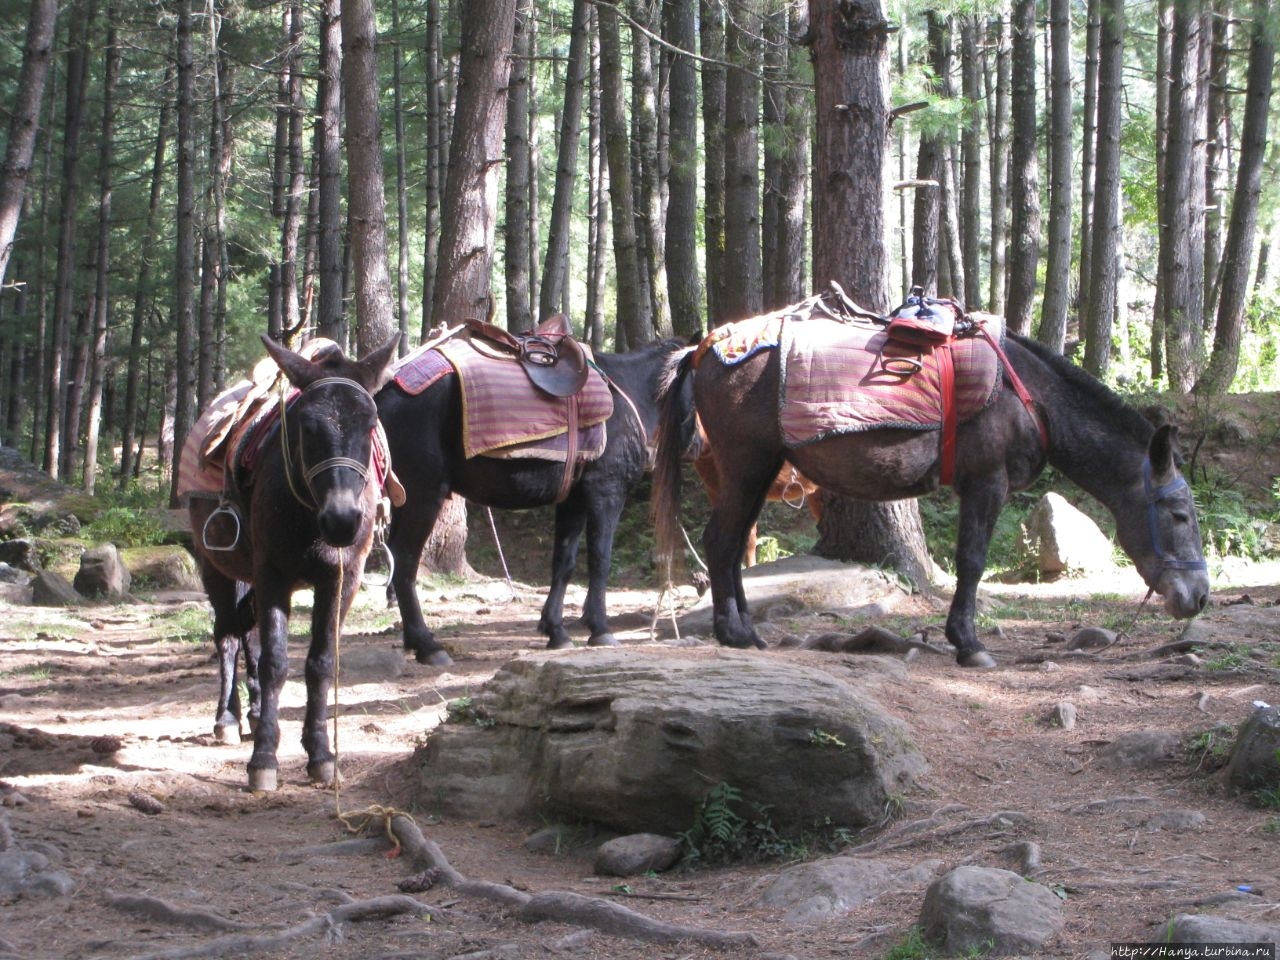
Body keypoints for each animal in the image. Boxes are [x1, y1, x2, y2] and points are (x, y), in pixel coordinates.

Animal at [655, 317, 1203, 670]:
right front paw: (968, 644)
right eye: (1179, 514)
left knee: (731, 545)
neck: (1029, 397)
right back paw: (735, 633)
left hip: (756, 473)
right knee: (720, 542)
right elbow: (972, 561)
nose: (1198, 596)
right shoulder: (986, 483)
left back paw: (746, 629)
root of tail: (704, 350)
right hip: (746, 468)